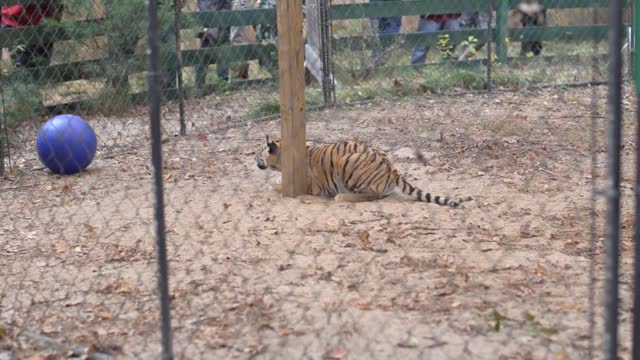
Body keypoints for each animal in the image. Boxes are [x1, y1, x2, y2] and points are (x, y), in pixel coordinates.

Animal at [254, 136, 470, 208]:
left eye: (259, 151)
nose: (254, 158)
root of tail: (392, 169)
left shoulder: (308, 185)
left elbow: (279, 185)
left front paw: (273, 187)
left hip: (346, 162)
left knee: (373, 196)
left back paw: (342, 196)